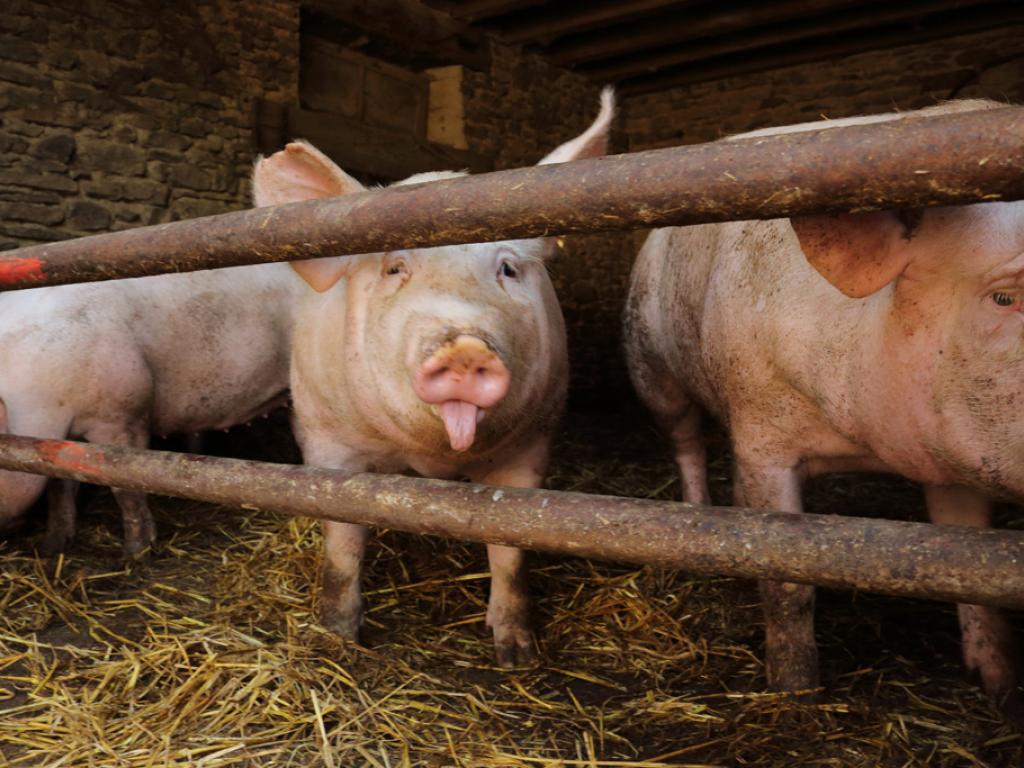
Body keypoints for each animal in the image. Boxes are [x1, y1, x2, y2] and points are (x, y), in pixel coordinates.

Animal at [250, 88, 610, 667]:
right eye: (395, 268)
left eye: (507, 268)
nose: (465, 347)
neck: (430, 459)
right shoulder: (326, 439)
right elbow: (343, 541)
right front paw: (339, 636)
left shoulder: (533, 442)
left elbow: (510, 549)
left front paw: (516, 655)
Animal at [622, 100, 1024, 720]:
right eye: (1004, 297)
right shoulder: (762, 434)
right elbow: (789, 579)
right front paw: (795, 693)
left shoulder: (953, 453)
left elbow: (969, 566)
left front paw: (1001, 689)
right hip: (651, 365)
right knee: (685, 442)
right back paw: (699, 516)